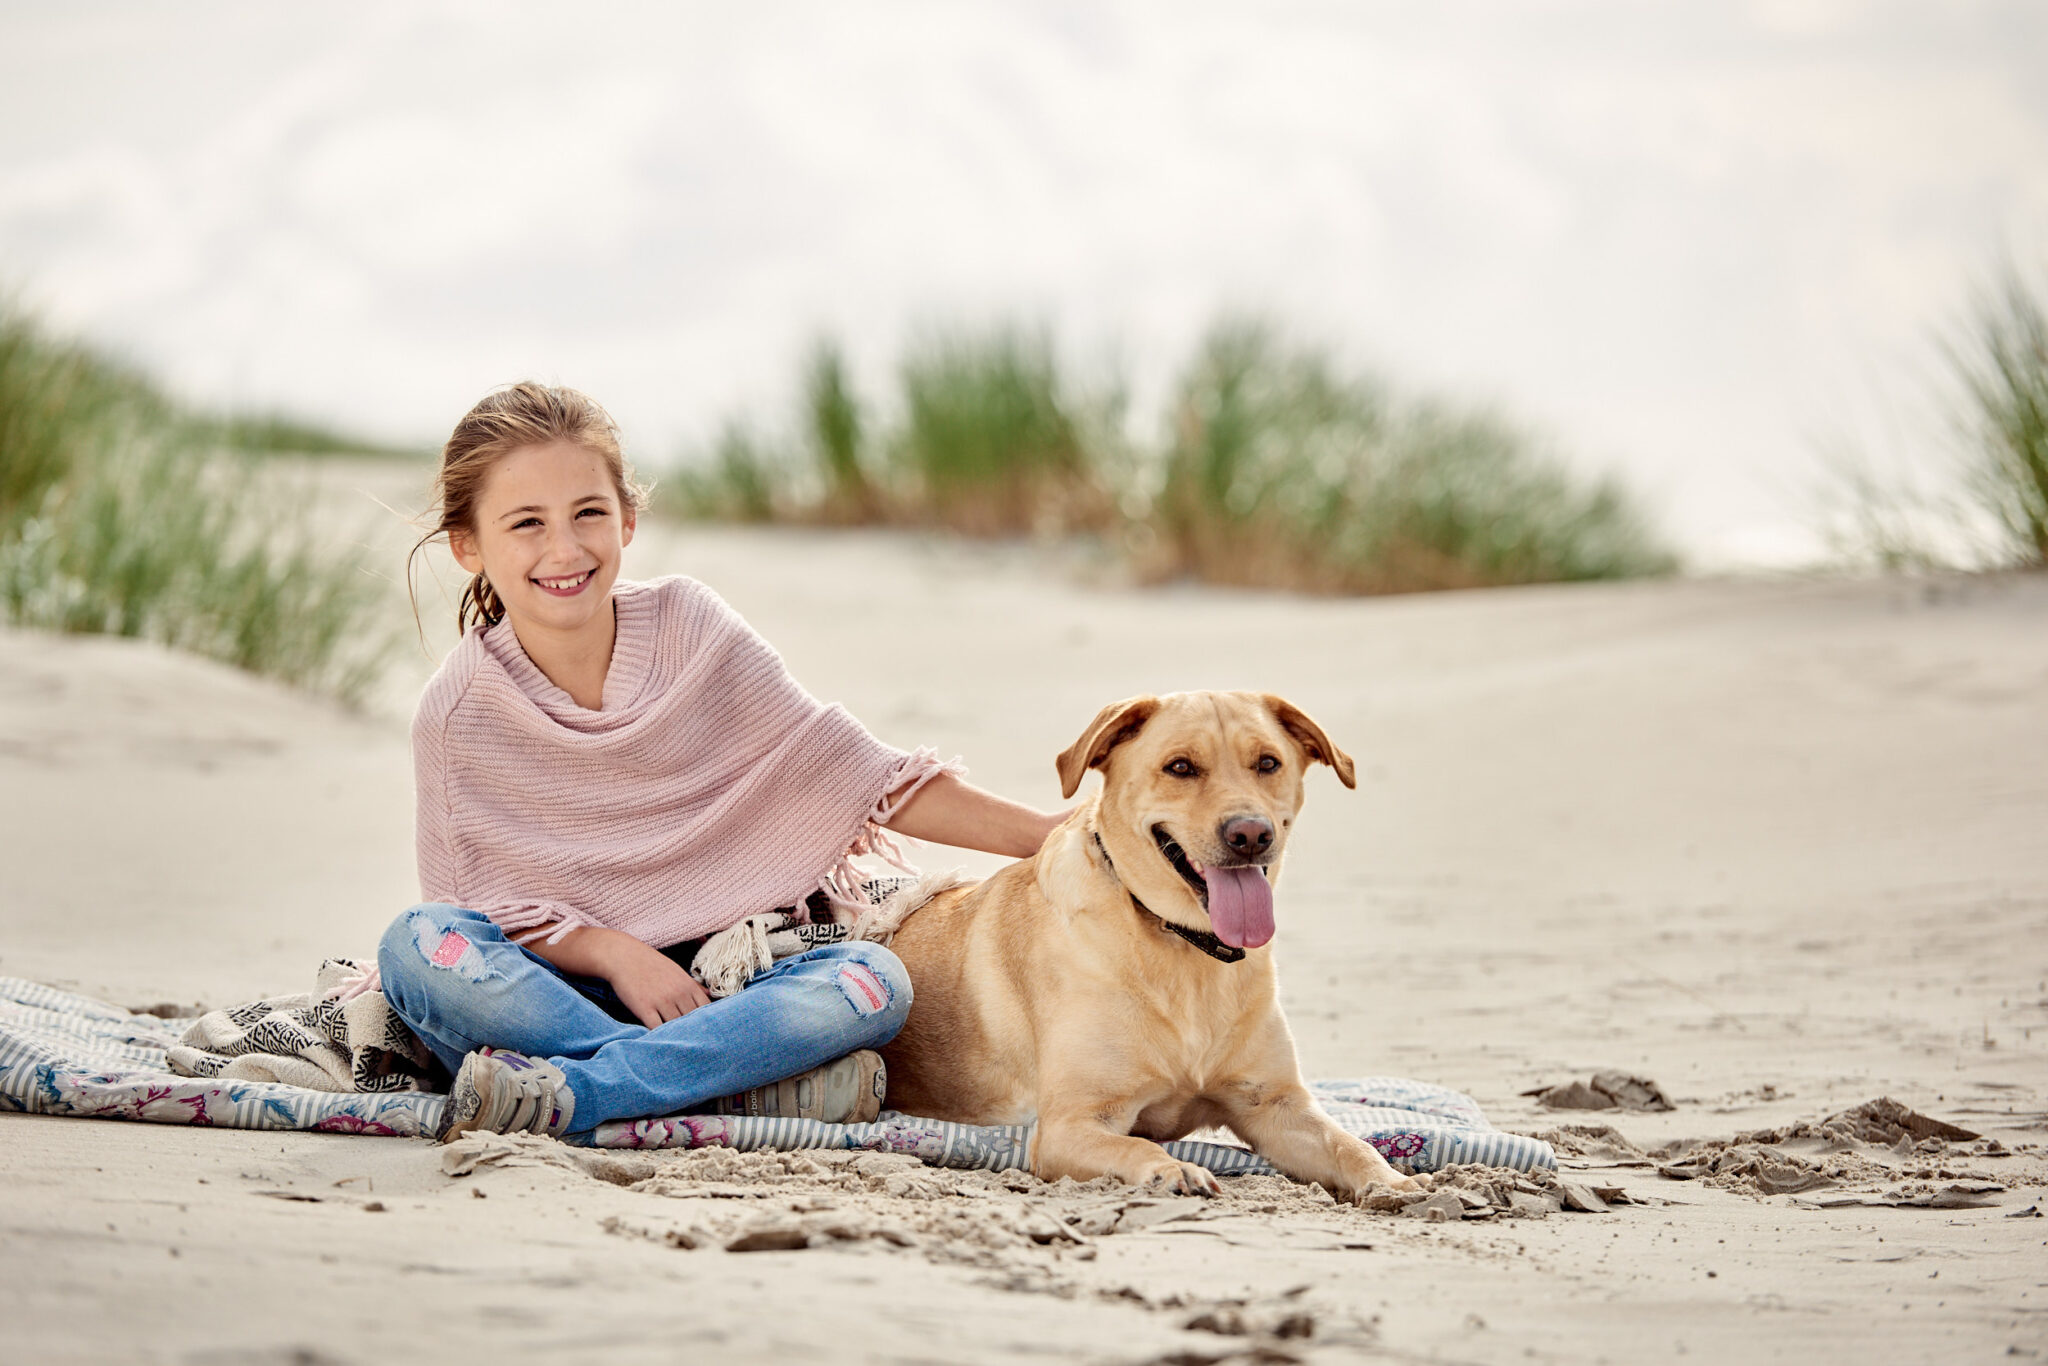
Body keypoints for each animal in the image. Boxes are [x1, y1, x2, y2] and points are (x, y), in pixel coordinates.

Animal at [880, 688, 1425, 1204]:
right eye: (1180, 767)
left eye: (1268, 763)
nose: (1251, 834)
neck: (1187, 949)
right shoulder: (1069, 1124)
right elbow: (1136, 1145)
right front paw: (1175, 1169)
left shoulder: (1274, 1105)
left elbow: (1351, 1145)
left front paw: (1394, 1183)